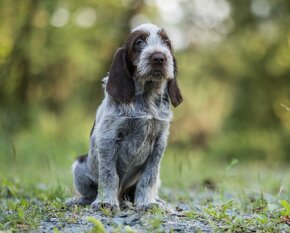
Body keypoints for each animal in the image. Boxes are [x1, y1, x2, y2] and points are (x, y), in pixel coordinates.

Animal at [69, 23, 182, 211]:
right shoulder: (108, 138)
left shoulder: (159, 142)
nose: (159, 58)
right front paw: (106, 202)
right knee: (90, 193)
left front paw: (147, 203)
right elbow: (109, 175)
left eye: (166, 43)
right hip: (79, 165)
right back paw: (80, 201)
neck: (145, 97)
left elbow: (148, 177)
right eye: (139, 43)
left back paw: (156, 200)